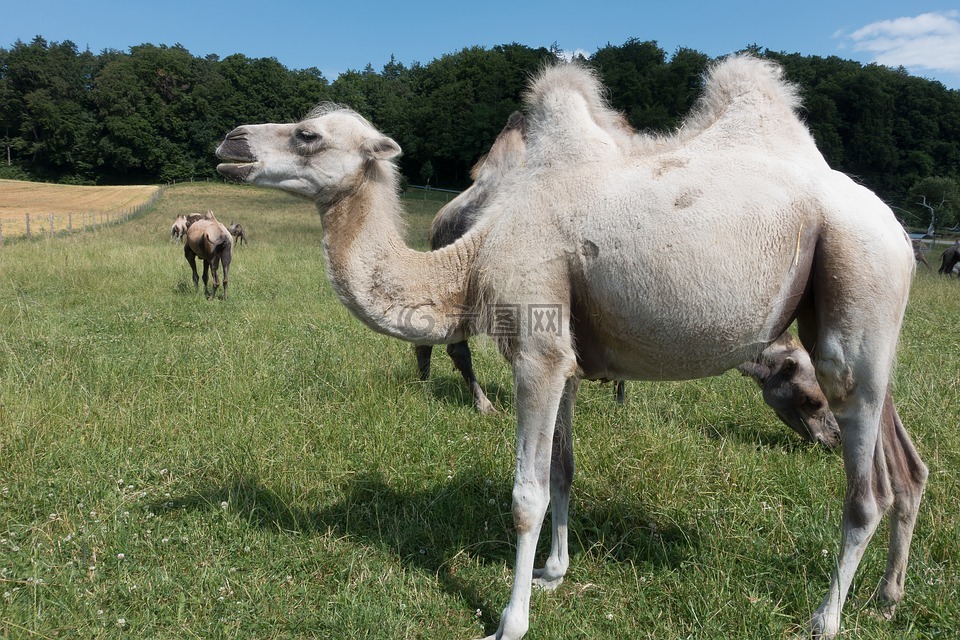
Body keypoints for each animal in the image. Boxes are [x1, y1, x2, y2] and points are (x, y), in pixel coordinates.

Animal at [216, 57, 924, 636]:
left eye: (308, 135)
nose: (229, 143)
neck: (468, 260)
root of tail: (900, 231)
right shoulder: (570, 362)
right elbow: (563, 469)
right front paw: (554, 573)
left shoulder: (537, 352)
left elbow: (525, 495)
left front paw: (511, 620)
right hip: (853, 328)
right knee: (905, 464)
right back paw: (887, 598)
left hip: (857, 284)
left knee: (866, 490)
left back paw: (825, 619)